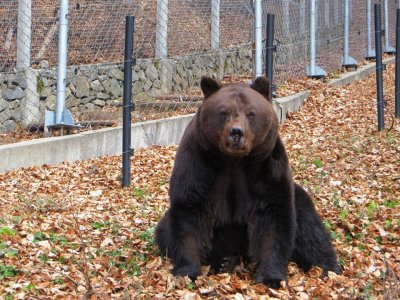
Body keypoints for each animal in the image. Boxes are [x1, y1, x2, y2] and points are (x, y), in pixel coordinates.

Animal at [155, 76, 340, 288]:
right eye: (223, 112)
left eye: (251, 113)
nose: (236, 132)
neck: (233, 160)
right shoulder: (199, 163)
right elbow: (190, 212)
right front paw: (187, 272)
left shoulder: (265, 167)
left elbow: (272, 217)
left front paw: (271, 277)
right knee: (163, 230)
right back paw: (224, 261)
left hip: (298, 199)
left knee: (311, 229)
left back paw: (327, 269)